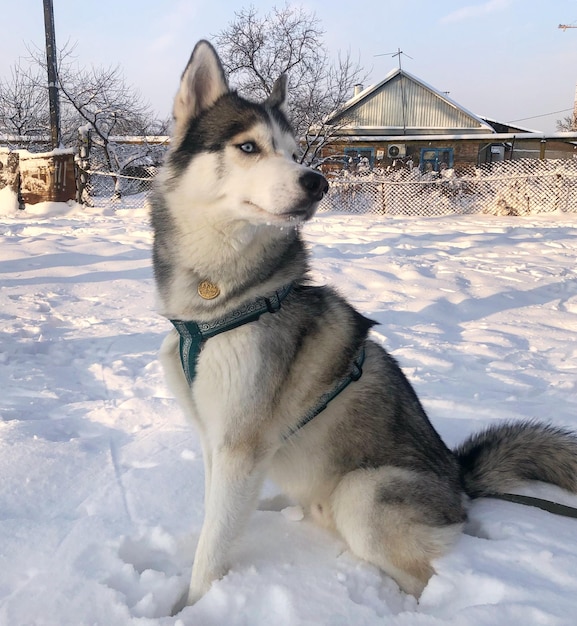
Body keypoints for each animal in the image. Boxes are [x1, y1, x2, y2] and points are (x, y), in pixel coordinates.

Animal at [151, 39, 576, 604]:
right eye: (248, 147)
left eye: (294, 151)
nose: (318, 182)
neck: (218, 304)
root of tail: (458, 477)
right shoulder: (212, 437)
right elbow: (214, 522)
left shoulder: (240, 444)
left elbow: (212, 549)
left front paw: (191, 606)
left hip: (363, 491)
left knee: (422, 576)